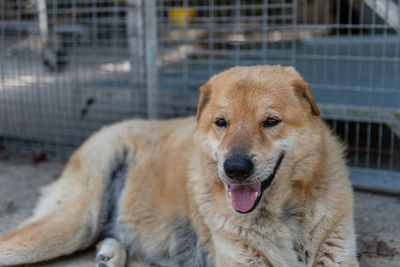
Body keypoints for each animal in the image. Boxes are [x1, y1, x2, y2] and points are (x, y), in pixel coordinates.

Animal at [0, 65, 358, 267]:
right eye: (221, 123)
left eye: (270, 122)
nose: (235, 169)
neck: (283, 214)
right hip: (73, 223)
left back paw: (110, 255)